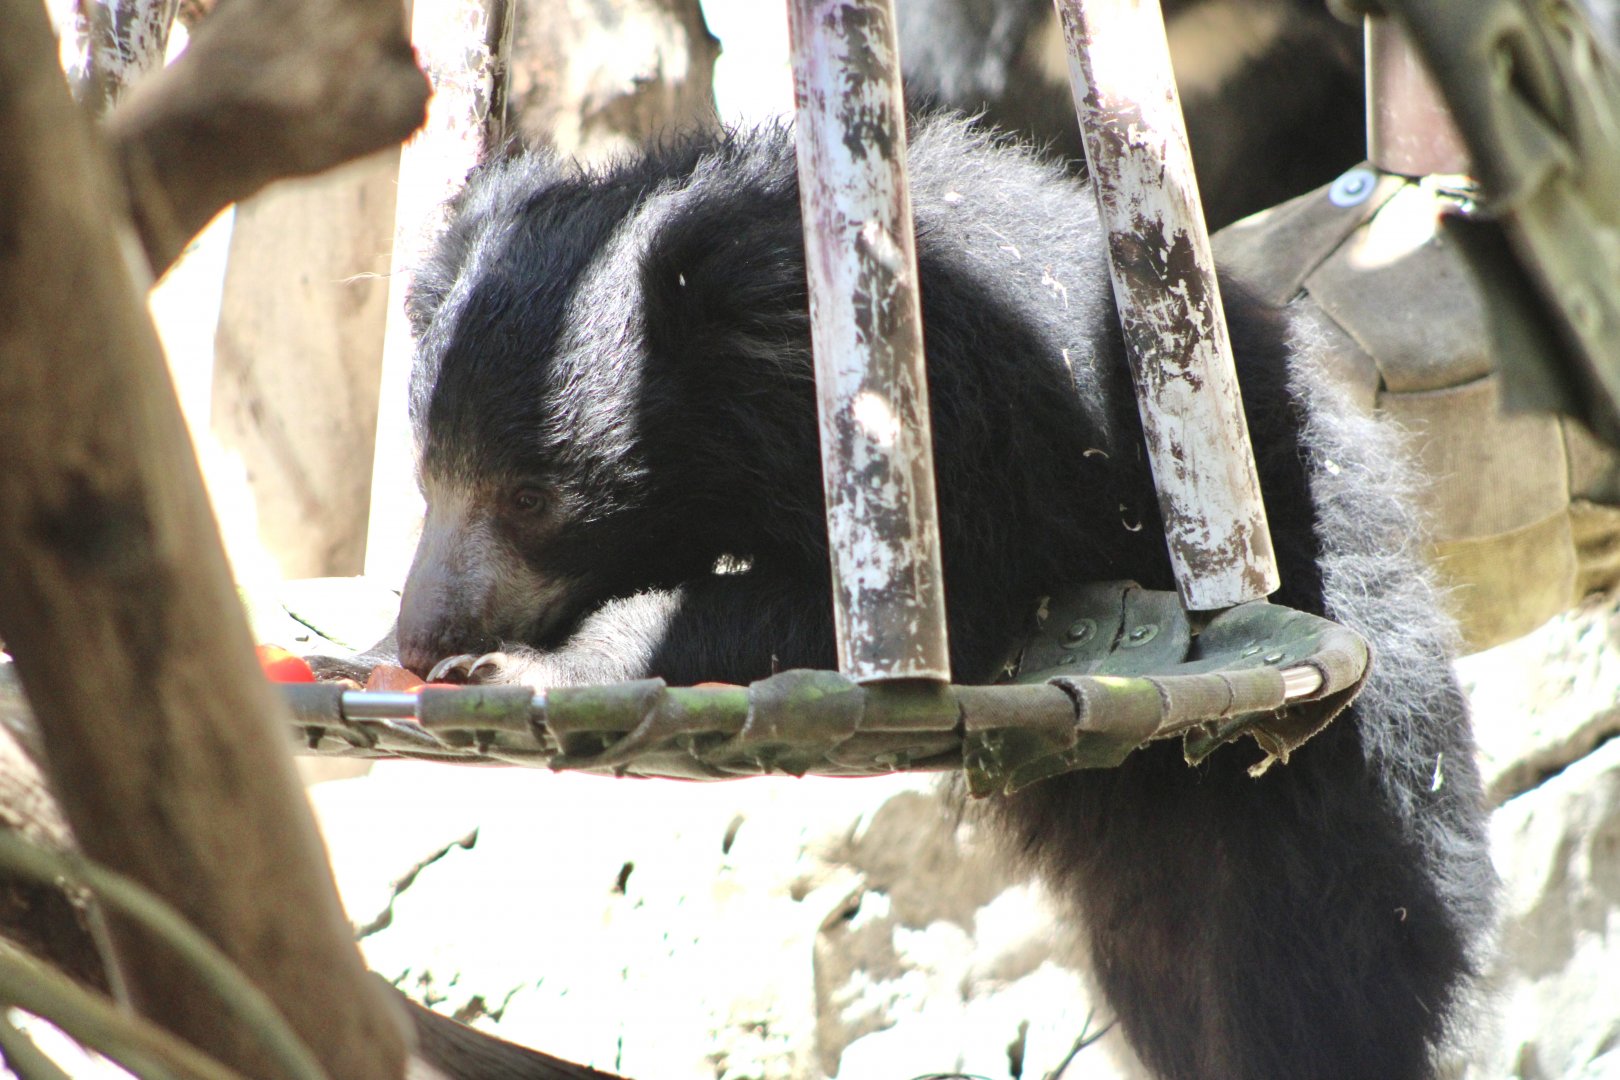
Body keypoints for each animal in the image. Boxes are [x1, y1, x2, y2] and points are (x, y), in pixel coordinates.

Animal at [379, 118, 1495, 1079]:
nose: (422, 634)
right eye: (429, 475)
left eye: (533, 496)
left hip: (1327, 771)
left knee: (1316, 966)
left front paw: (530, 667)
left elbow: (929, 598)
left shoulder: (978, 435)